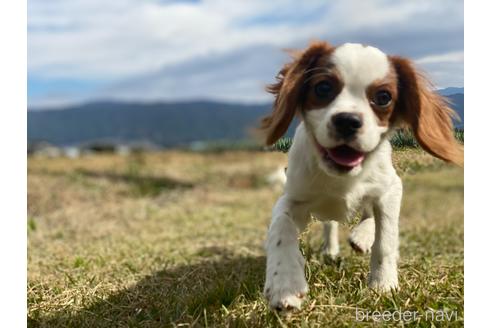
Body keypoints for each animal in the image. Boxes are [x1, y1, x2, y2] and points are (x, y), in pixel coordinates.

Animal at [260, 41, 464, 310]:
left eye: (383, 97)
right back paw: (331, 249)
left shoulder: (391, 189)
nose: (347, 121)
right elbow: (280, 227)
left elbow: (385, 238)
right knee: (330, 224)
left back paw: (362, 237)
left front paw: (383, 284)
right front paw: (284, 284)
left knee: (368, 214)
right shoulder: (293, 197)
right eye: (323, 87)